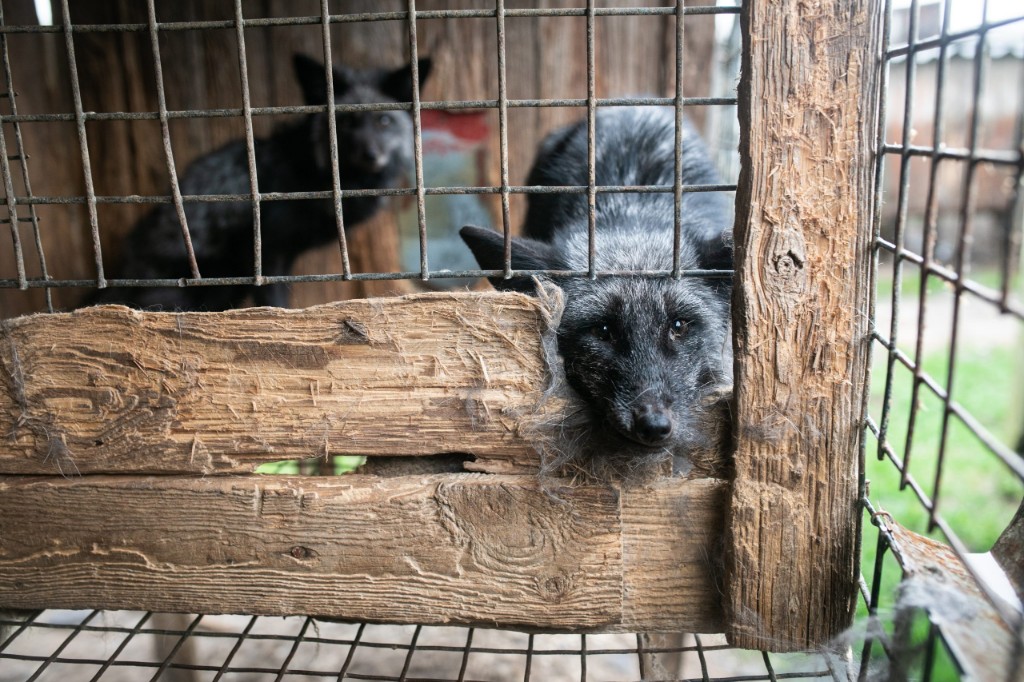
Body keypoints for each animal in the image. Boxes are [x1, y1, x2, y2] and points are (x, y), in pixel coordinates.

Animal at [89, 54, 436, 309]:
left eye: (384, 120)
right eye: (347, 122)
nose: (371, 154)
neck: (313, 171)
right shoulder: (266, 248)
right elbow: (273, 297)